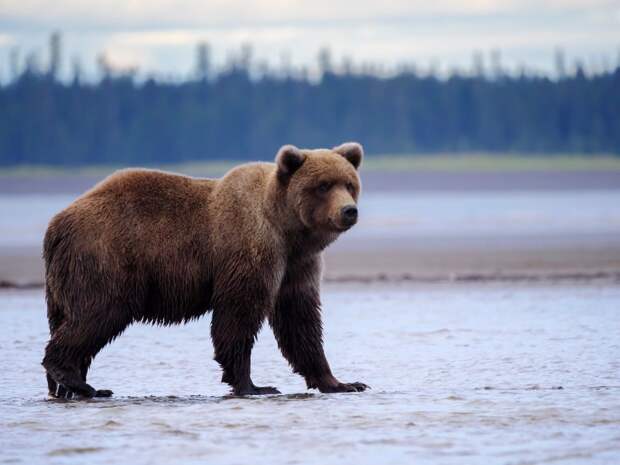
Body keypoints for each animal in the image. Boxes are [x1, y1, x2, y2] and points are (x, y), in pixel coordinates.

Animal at [42, 142, 368, 398]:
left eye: (349, 184)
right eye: (323, 185)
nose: (348, 210)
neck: (287, 230)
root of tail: (56, 224)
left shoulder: (298, 265)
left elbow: (299, 320)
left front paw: (343, 382)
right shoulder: (251, 251)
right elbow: (238, 316)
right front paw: (254, 385)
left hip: (64, 277)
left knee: (68, 319)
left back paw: (70, 387)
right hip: (105, 257)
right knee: (97, 313)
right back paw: (75, 379)